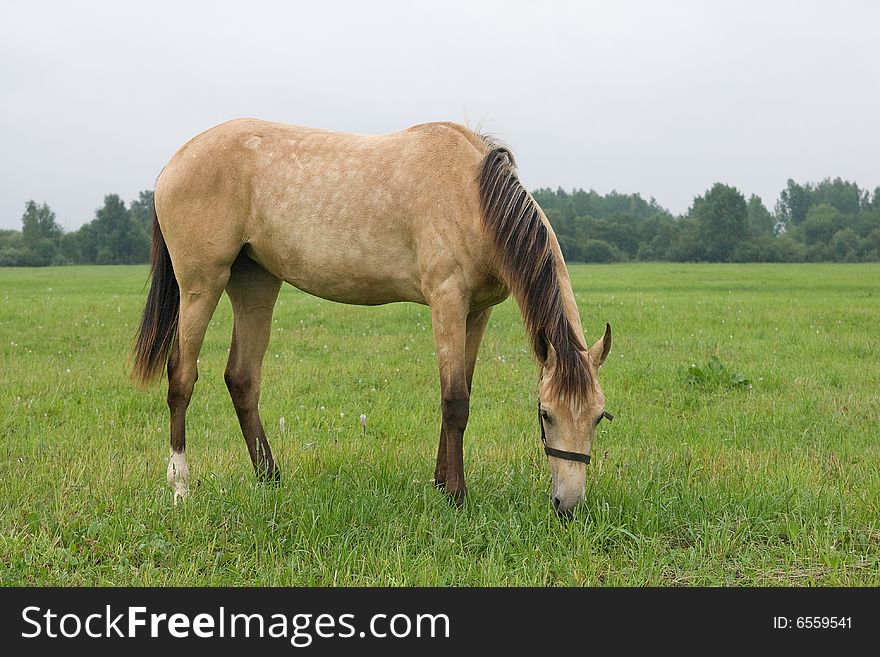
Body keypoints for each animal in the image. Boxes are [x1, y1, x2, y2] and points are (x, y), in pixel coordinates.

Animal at [132, 119, 612, 516]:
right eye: (545, 414)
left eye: (598, 417)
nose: (568, 506)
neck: (473, 197)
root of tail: (175, 161)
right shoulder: (448, 300)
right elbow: (455, 401)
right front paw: (457, 497)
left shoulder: (477, 312)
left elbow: (461, 393)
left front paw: (441, 484)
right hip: (201, 285)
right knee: (182, 378)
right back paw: (180, 487)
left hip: (255, 288)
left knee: (242, 378)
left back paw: (270, 478)